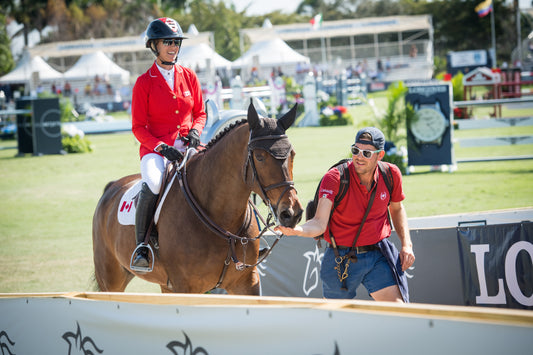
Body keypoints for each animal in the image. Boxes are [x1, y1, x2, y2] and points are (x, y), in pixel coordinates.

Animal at [93, 102, 302, 294]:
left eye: (292, 153)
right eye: (259, 157)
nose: (291, 213)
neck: (222, 218)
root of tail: (112, 187)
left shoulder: (246, 283)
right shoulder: (185, 287)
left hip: (164, 285)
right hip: (111, 280)